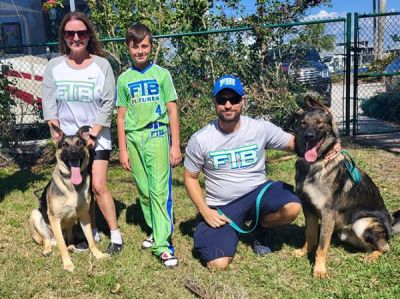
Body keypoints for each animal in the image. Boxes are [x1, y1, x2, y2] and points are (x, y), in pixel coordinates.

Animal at [28, 123, 108, 272]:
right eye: (64, 145)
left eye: (80, 143)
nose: (74, 153)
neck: (72, 186)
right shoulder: (54, 219)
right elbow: (61, 246)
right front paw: (67, 264)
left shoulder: (84, 216)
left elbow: (91, 240)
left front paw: (98, 255)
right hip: (36, 214)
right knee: (48, 240)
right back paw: (48, 249)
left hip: (71, 226)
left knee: (69, 240)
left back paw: (71, 246)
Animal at [292, 97, 398, 280]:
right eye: (303, 124)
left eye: (320, 124)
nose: (309, 136)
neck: (316, 164)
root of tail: (391, 227)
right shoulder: (309, 209)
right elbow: (310, 234)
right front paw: (304, 251)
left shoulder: (327, 214)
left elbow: (322, 246)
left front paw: (319, 269)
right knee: (369, 247)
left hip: (363, 223)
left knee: (385, 248)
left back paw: (372, 257)